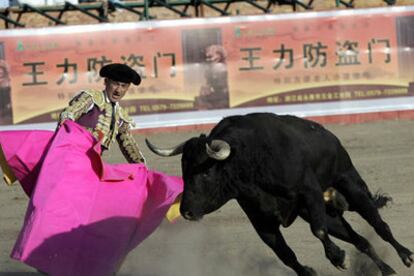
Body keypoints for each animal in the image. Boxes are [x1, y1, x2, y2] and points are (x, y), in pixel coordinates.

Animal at [145, 112, 410, 276]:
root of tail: (329, 136)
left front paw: (338, 257)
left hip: (350, 184)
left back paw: (406, 256)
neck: (250, 160)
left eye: (206, 172)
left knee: (379, 225)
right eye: (183, 169)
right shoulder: (261, 221)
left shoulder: (310, 192)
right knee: (360, 240)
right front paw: (310, 270)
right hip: (329, 214)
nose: (186, 212)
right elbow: (286, 255)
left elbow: (317, 230)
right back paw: (387, 269)